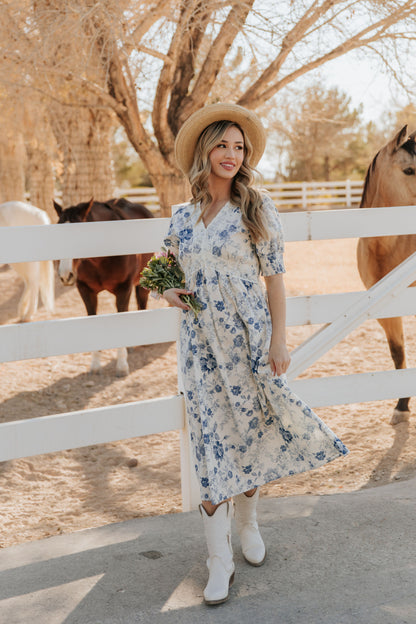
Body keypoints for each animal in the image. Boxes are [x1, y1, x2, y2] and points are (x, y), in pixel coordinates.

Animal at [53, 197, 154, 378]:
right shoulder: (85, 291)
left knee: (142, 302)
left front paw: (122, 366)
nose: (65, 275)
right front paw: (95, 366)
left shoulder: (124, 290)